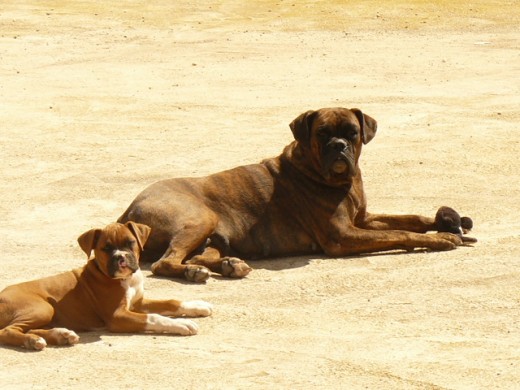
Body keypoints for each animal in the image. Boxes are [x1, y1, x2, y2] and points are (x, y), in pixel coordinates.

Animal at [0, 222, 213, 350]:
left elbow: (171, 302)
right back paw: (33, 341)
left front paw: (197, 305)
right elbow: (154, 317)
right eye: (106, 248)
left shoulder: (138, 303)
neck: (125, 280)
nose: (121, 257)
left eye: (130, 243)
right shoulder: (118, 316)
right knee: (7, 331)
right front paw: (182, 324)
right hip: (43, 308)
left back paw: (62, 335)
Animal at [118, 107, 476, 284]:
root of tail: (129, 209)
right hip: (199, 219)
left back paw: (229, 265)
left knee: (196, 256)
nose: (338, 146)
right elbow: (401, 233)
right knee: (165, 262)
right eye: (323, 133)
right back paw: (196, 273)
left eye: (352, 133)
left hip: (213, 236)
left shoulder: (364, 219)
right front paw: (442, 238)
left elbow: (409, 219)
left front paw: (447, 222)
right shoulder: (344, 235)